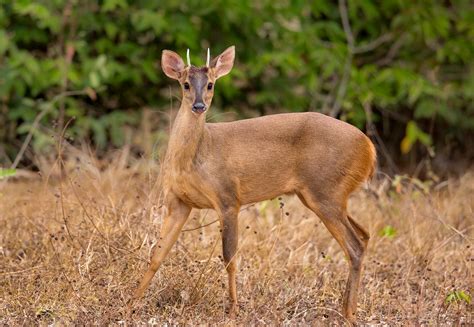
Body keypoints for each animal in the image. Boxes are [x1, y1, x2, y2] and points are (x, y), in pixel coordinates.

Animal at [131, 44, 376, 324]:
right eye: (185, 84)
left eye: (211, 84)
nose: (199, 105)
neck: (197, 155)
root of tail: (369, 148)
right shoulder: (178, 201)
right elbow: (157, 254)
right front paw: (132, 303)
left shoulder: (228, 197)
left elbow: (230, 258)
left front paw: (233, 311)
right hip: (326, 195)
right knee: (364, 235)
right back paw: (346, 307)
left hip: (325, 191)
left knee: (354, 245)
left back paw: (348, 313)